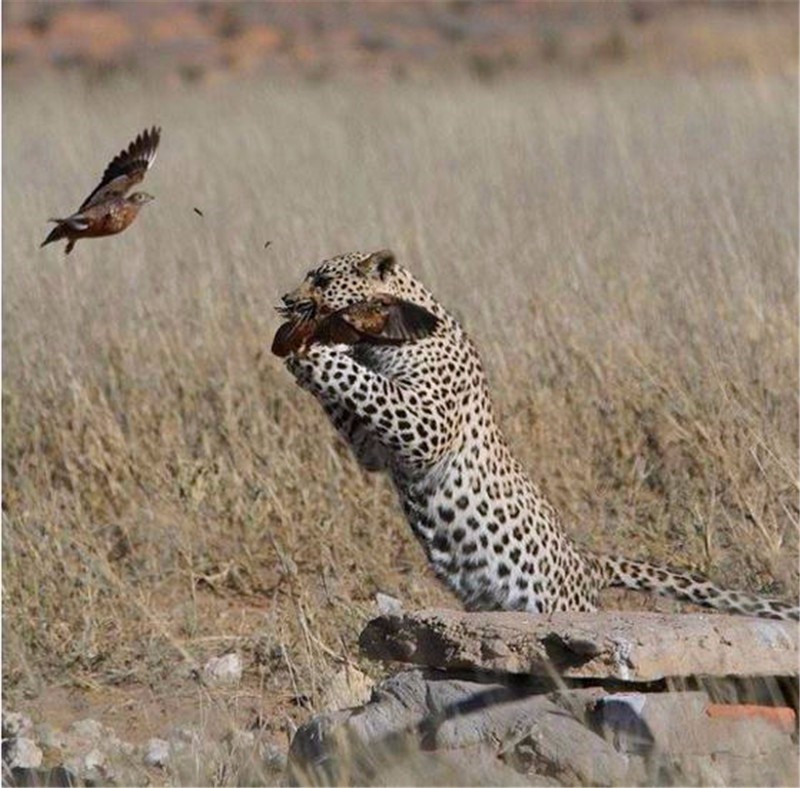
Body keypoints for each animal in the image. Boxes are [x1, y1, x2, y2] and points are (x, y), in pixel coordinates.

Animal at [278, 248, 796, 620]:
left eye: (322, 280)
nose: (285, 299)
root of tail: (586, 562)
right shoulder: (375, 449)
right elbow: (353, 396)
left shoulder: (427, 424)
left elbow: (366, 383)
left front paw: (315, 349)